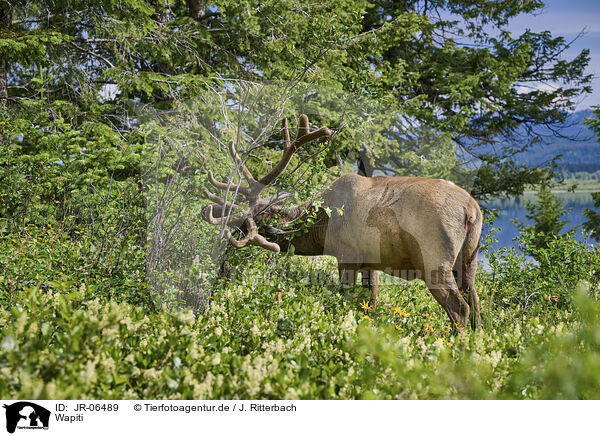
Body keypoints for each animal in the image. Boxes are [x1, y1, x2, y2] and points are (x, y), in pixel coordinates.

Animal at [202, 114, 482, 328]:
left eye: (247, 227)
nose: (223, 261)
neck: (321, 225)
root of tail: (471, 210)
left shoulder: (347, 254)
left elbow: (345, 299)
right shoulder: (372, 261)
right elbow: (370, 303)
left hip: (435, 260)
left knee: (460, 308)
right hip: (469, 259)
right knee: (476, 303)